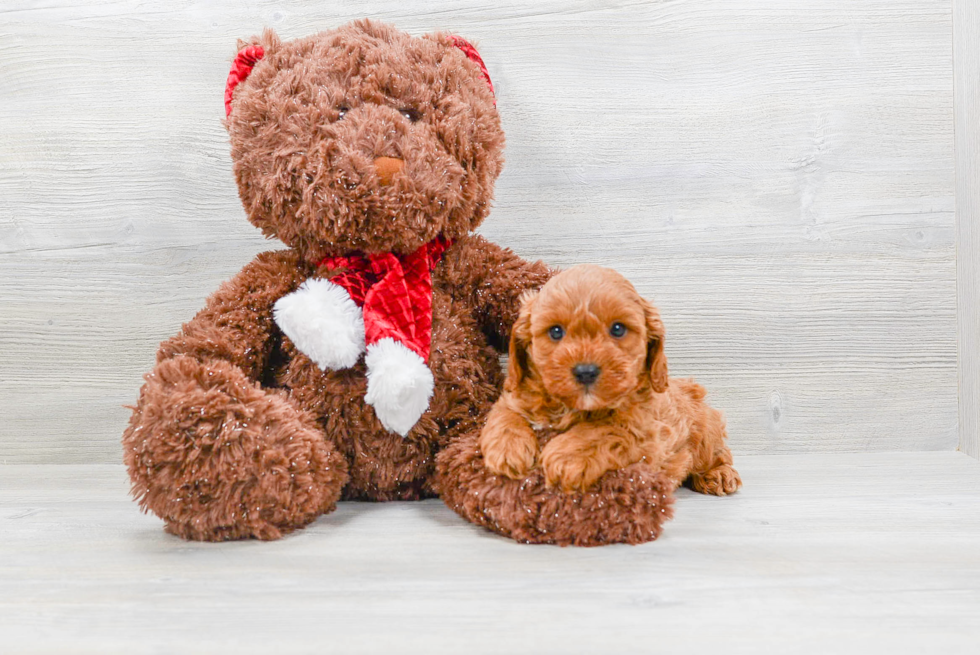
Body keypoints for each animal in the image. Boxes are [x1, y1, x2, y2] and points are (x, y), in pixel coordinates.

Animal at [478, 264, 740, 494]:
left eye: (617, 329)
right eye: (555, 331)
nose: (585, 371)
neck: (574, 408)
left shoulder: (648, 434)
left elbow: (606, 430)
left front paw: (567, 456)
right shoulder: (515, 395)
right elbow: (505, 414)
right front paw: (508, 449)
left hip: (705, 432)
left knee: (719, 454)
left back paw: (718, 474)